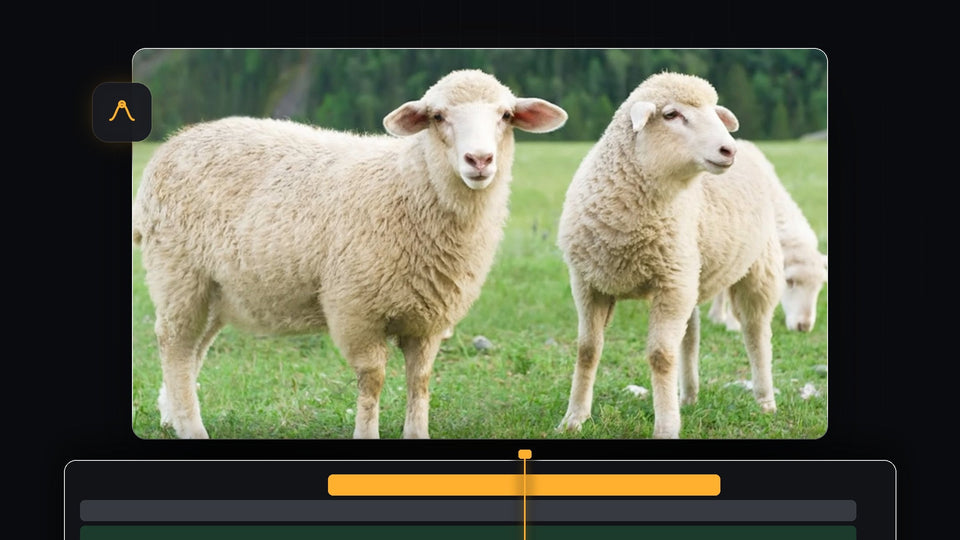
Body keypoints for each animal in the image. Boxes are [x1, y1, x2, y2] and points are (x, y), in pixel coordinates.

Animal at [131, 69, 568, 439]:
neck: (410, 186)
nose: (479, 160)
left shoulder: (429, 318)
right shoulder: (357, 310)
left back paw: (172, 416)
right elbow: (372, 380)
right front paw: (366, 433)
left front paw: (417, 434)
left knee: (194, 349)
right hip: (178, 273)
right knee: (175, 344)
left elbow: (420, 380)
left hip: (216, 288)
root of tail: (173, 144)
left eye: (506, 115)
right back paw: (191, 427)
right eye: (438, 116)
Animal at [555, 72, 784, 439]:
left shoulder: (670, 284)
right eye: (672, 115)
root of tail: (749, 146)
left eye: (715, 113)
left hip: (757, 267)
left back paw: (765, 400)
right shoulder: (589, 283)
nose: (728, 149)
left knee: (756, 332)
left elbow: (661, 356)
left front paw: (665, 426)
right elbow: (587, 350)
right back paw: (688, 396)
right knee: (691, 335)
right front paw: (574, 418)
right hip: (690, 273)